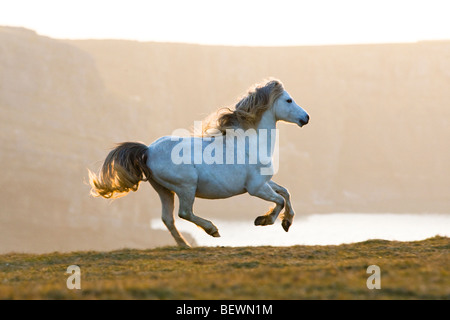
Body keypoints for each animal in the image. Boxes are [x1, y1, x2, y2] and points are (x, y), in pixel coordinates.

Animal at [90, 79, 312, 246]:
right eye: (289, 100)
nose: (306, 117)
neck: (250, 143)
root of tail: (148, 151)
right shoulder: (256, 188)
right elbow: (280, 200)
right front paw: (265, 220)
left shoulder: (265, 182)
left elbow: (285, 192)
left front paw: (287, 222)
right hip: (186, 187)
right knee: (184, 213)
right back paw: (212, 230)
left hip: (164, 190)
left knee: (168, 219)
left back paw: (185, 246)